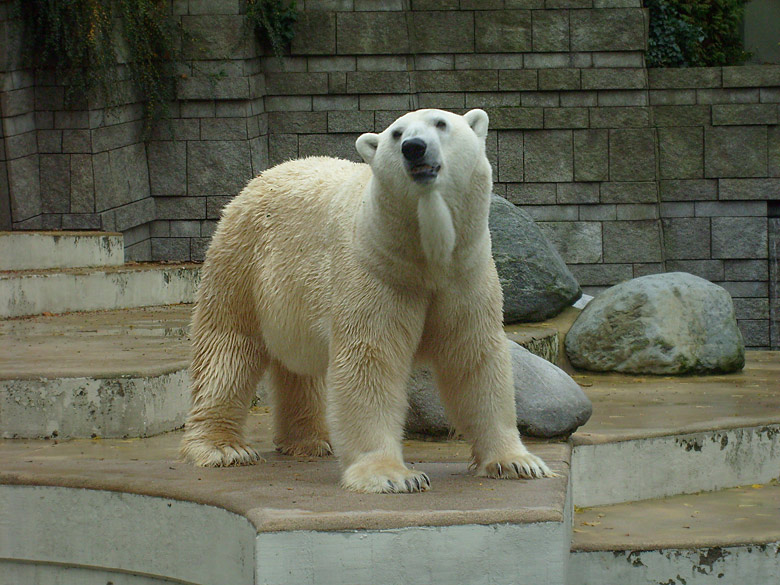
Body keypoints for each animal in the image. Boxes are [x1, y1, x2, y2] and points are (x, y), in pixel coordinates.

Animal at [181, 109, 556, 492]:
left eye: (440, 123)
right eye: (397, 133)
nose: (414, 148)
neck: (425, 258)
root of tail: (261, 177)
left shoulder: (465, 275)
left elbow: (473, 357)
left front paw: (517, 462)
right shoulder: (375, 272)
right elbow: (370, 360)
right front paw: (393, 475)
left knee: (299, 366)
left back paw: (310, 441)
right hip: (242, 260)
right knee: (228, 348)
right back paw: (223, 448)